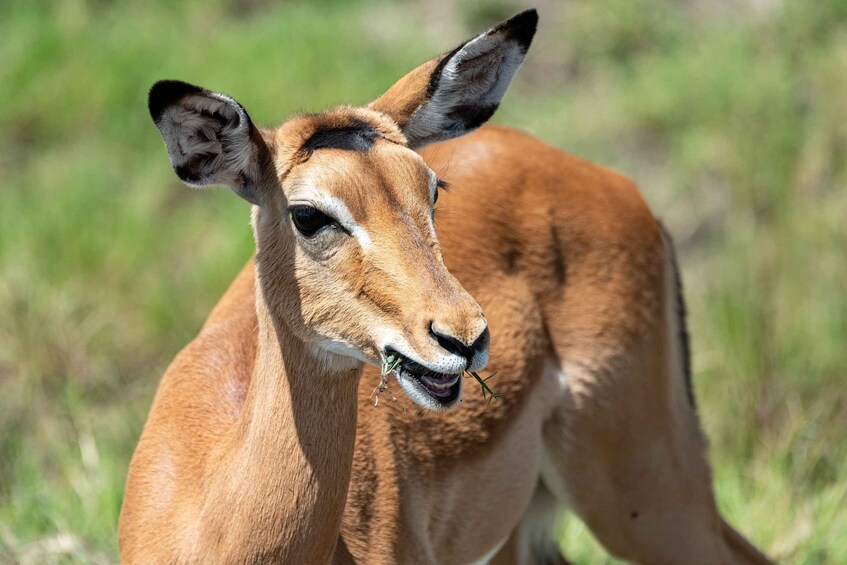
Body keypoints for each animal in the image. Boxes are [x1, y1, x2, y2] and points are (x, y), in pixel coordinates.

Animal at [119, 10, 773, 564]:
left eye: (433, 189)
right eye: (307, 213)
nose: (465, 337)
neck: (208, 511)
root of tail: (613, 183)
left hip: (645, 492)